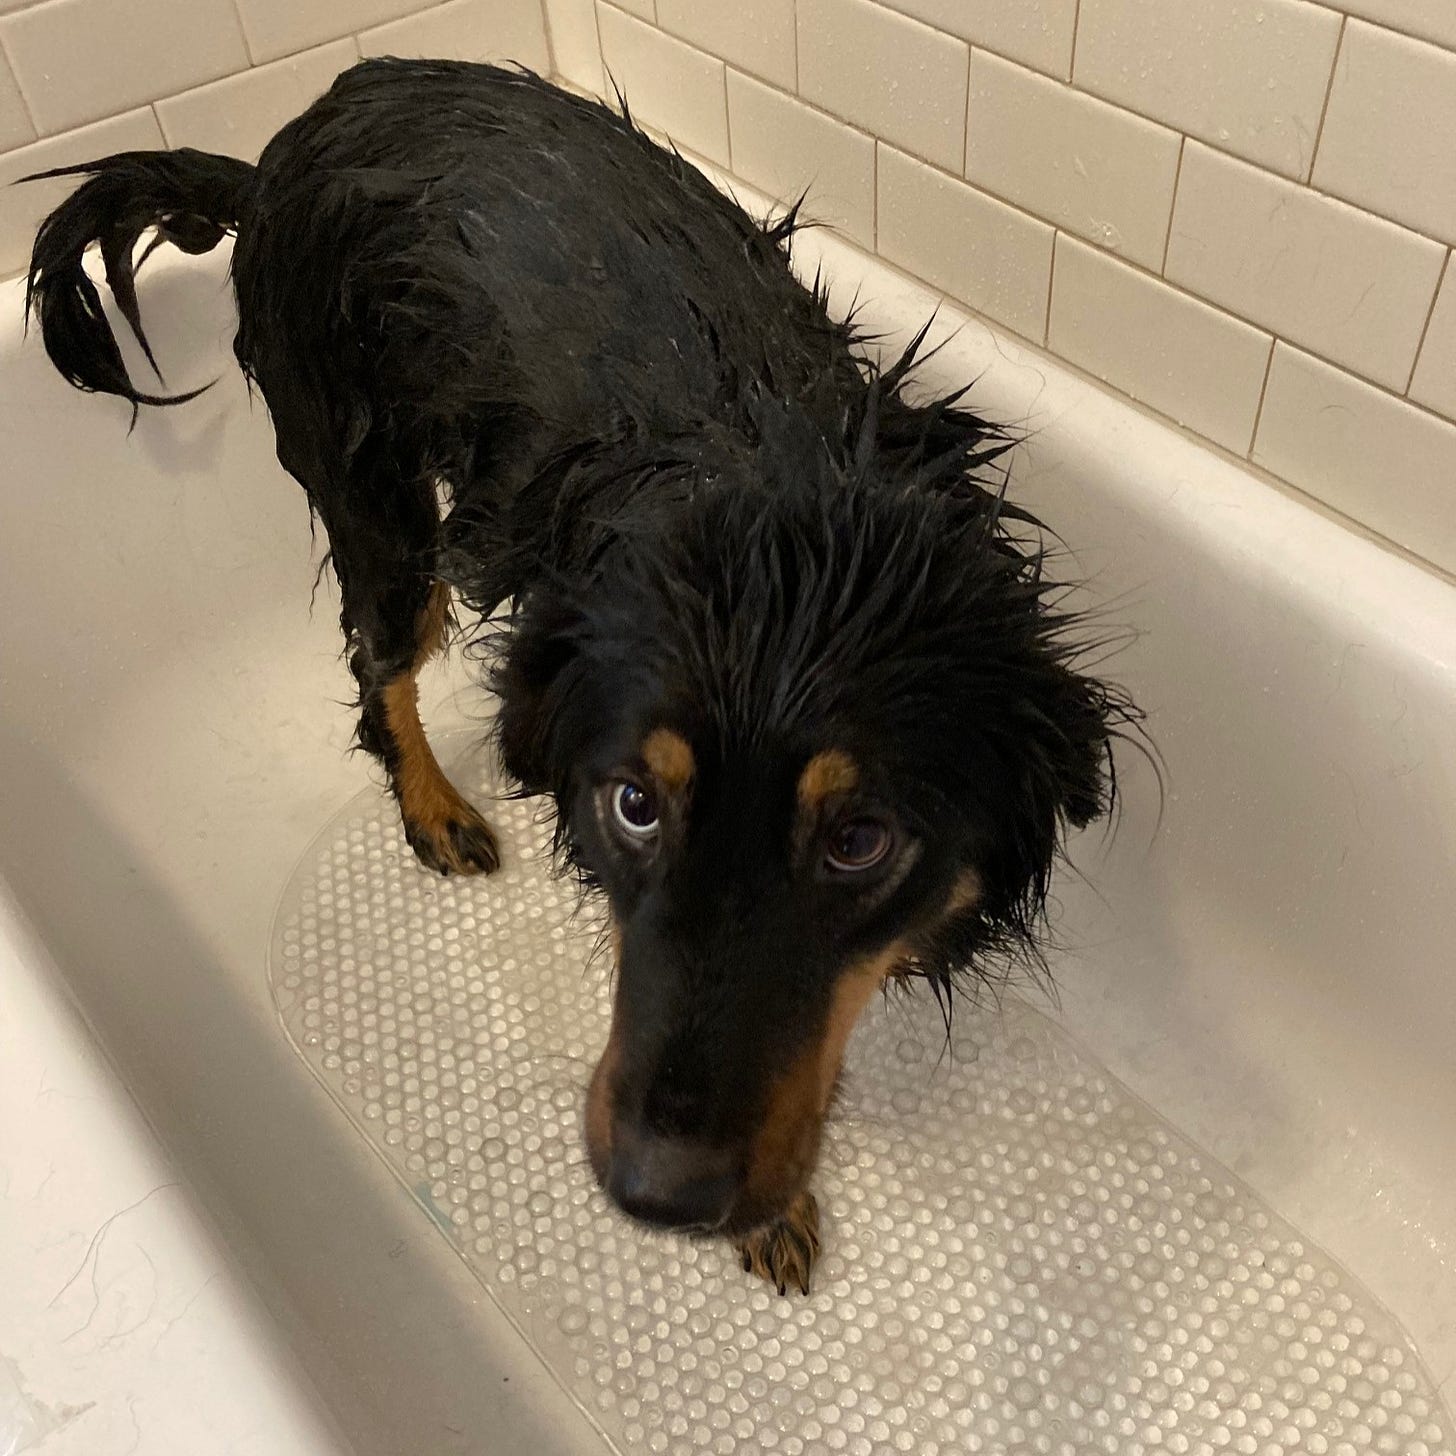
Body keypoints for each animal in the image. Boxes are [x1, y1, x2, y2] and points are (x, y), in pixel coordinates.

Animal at [25, 59, 1135, 1298]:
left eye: (860, 841)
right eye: (633, 805)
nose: (661, 1197)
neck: (778, 500)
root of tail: (269, 161)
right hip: (379, 505)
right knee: (377, 665)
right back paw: (433, 808)